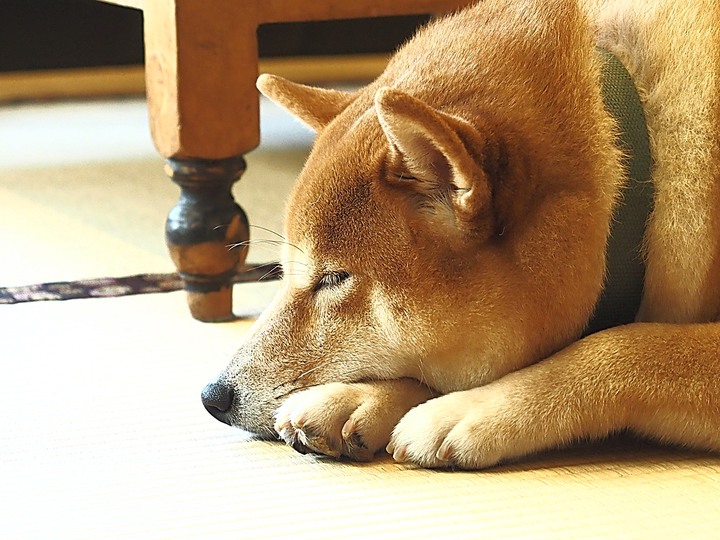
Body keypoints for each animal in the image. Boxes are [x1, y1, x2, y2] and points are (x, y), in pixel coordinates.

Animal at [200, 0, 716, 468]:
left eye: (333, 279)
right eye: (283, 271)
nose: (212, 397)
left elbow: (624, 344)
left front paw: (469, 410)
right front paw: (355, 398)